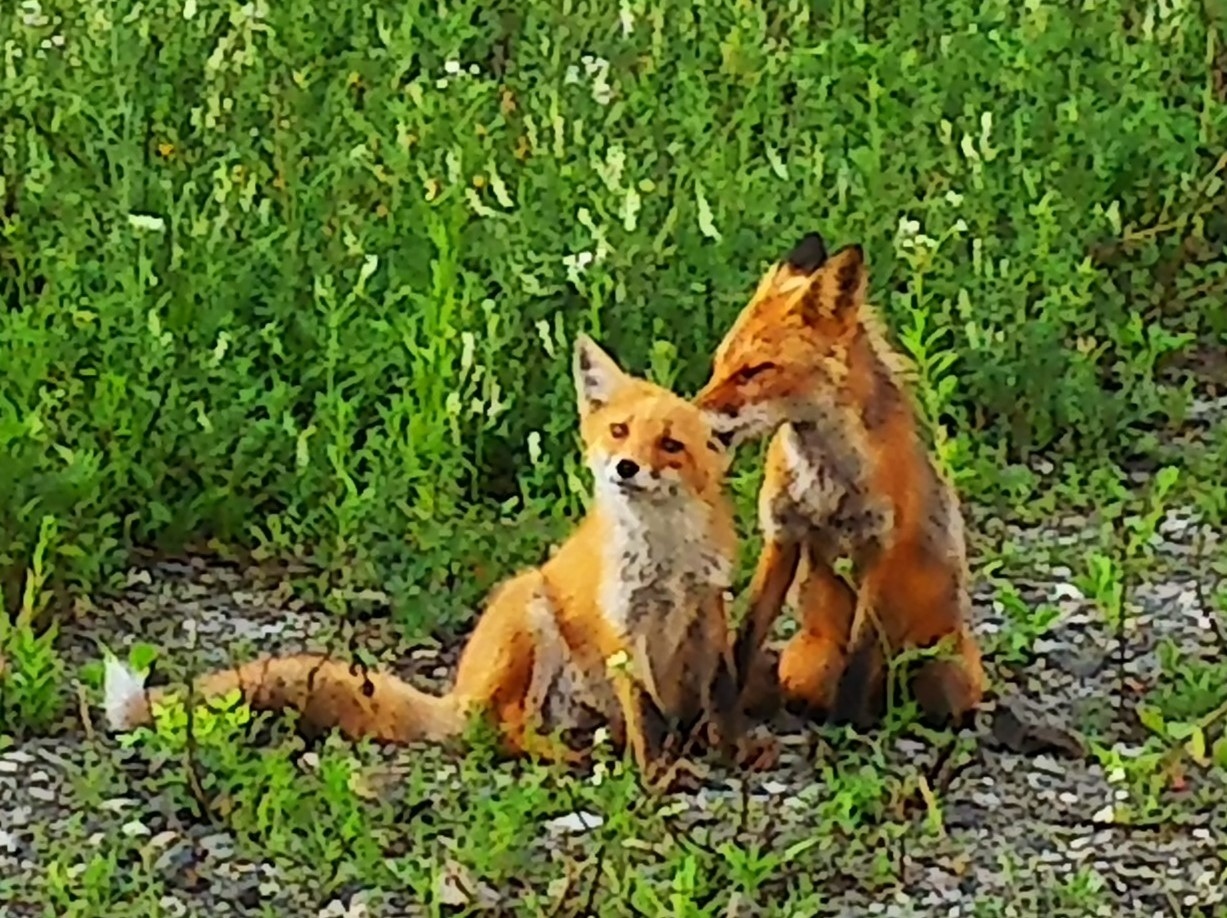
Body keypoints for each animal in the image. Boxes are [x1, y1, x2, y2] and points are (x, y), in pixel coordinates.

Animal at [105, 334, 759, 785]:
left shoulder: (706, 610)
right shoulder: (621, 627)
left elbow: (716, 693)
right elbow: (646, 715)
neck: (665, 556)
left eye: (669, 446)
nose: (624, 469)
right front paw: (657, 775)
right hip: (531, 611)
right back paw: (559, 754)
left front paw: (725, 750)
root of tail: (455, 697)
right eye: (619, 431)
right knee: (498, 730)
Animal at [694, 231, 985, 730]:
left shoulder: (881, 546)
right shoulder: (783, 535)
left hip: (944, 671)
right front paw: (725, 706)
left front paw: (846, 731)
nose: (687, 418)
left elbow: (861, 655)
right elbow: (747, 634)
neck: (824, 478)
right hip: (809, 664)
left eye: (756, 371)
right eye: (719, 365)